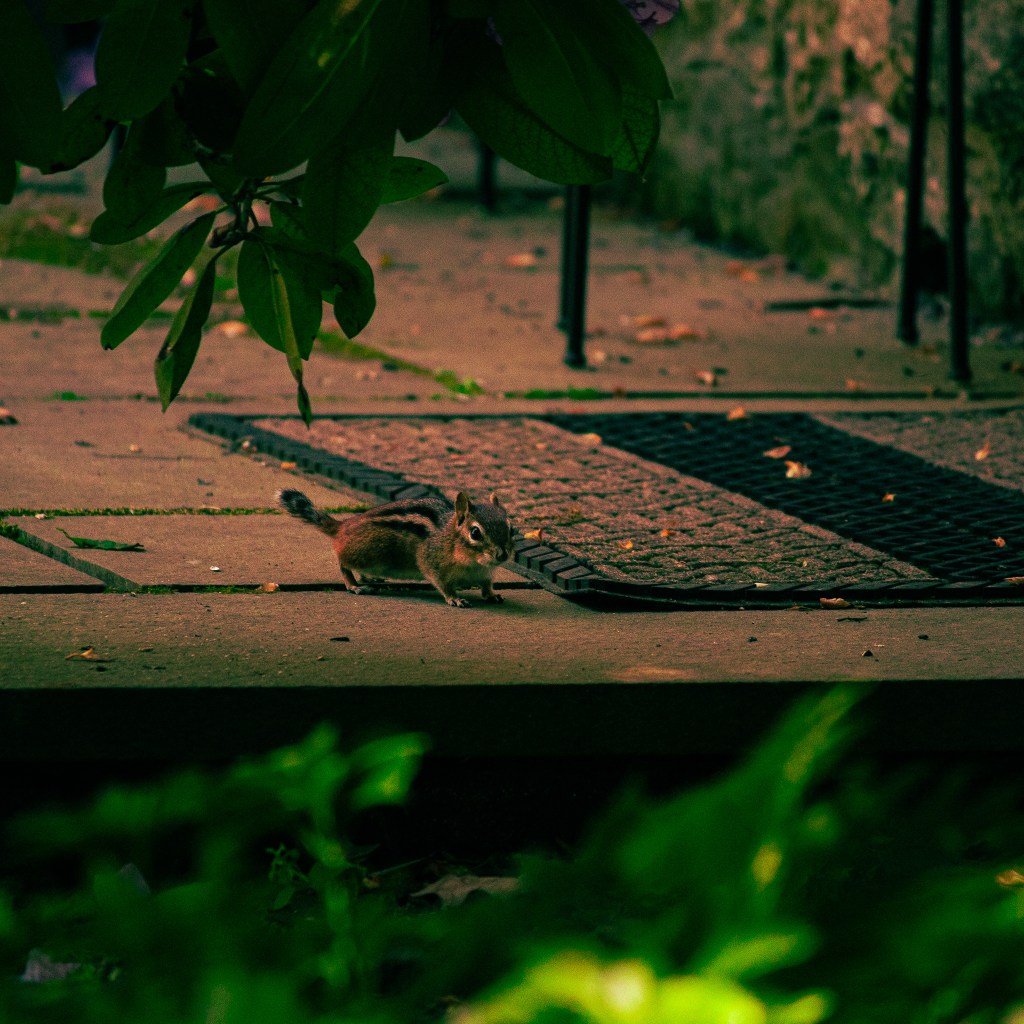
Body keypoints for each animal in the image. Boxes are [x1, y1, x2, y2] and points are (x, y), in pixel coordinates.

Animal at [277, 488, 513, 608]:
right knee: (343, 563)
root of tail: (344, 526)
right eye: (475, 533)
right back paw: (354, 585)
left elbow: (486, 585)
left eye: (511, 528)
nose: (502, 555)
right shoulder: (433, 564)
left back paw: (369, 578)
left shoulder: (485, 573)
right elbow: (443, 584)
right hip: (365, 554)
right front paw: (454, 598)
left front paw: (492, 595)